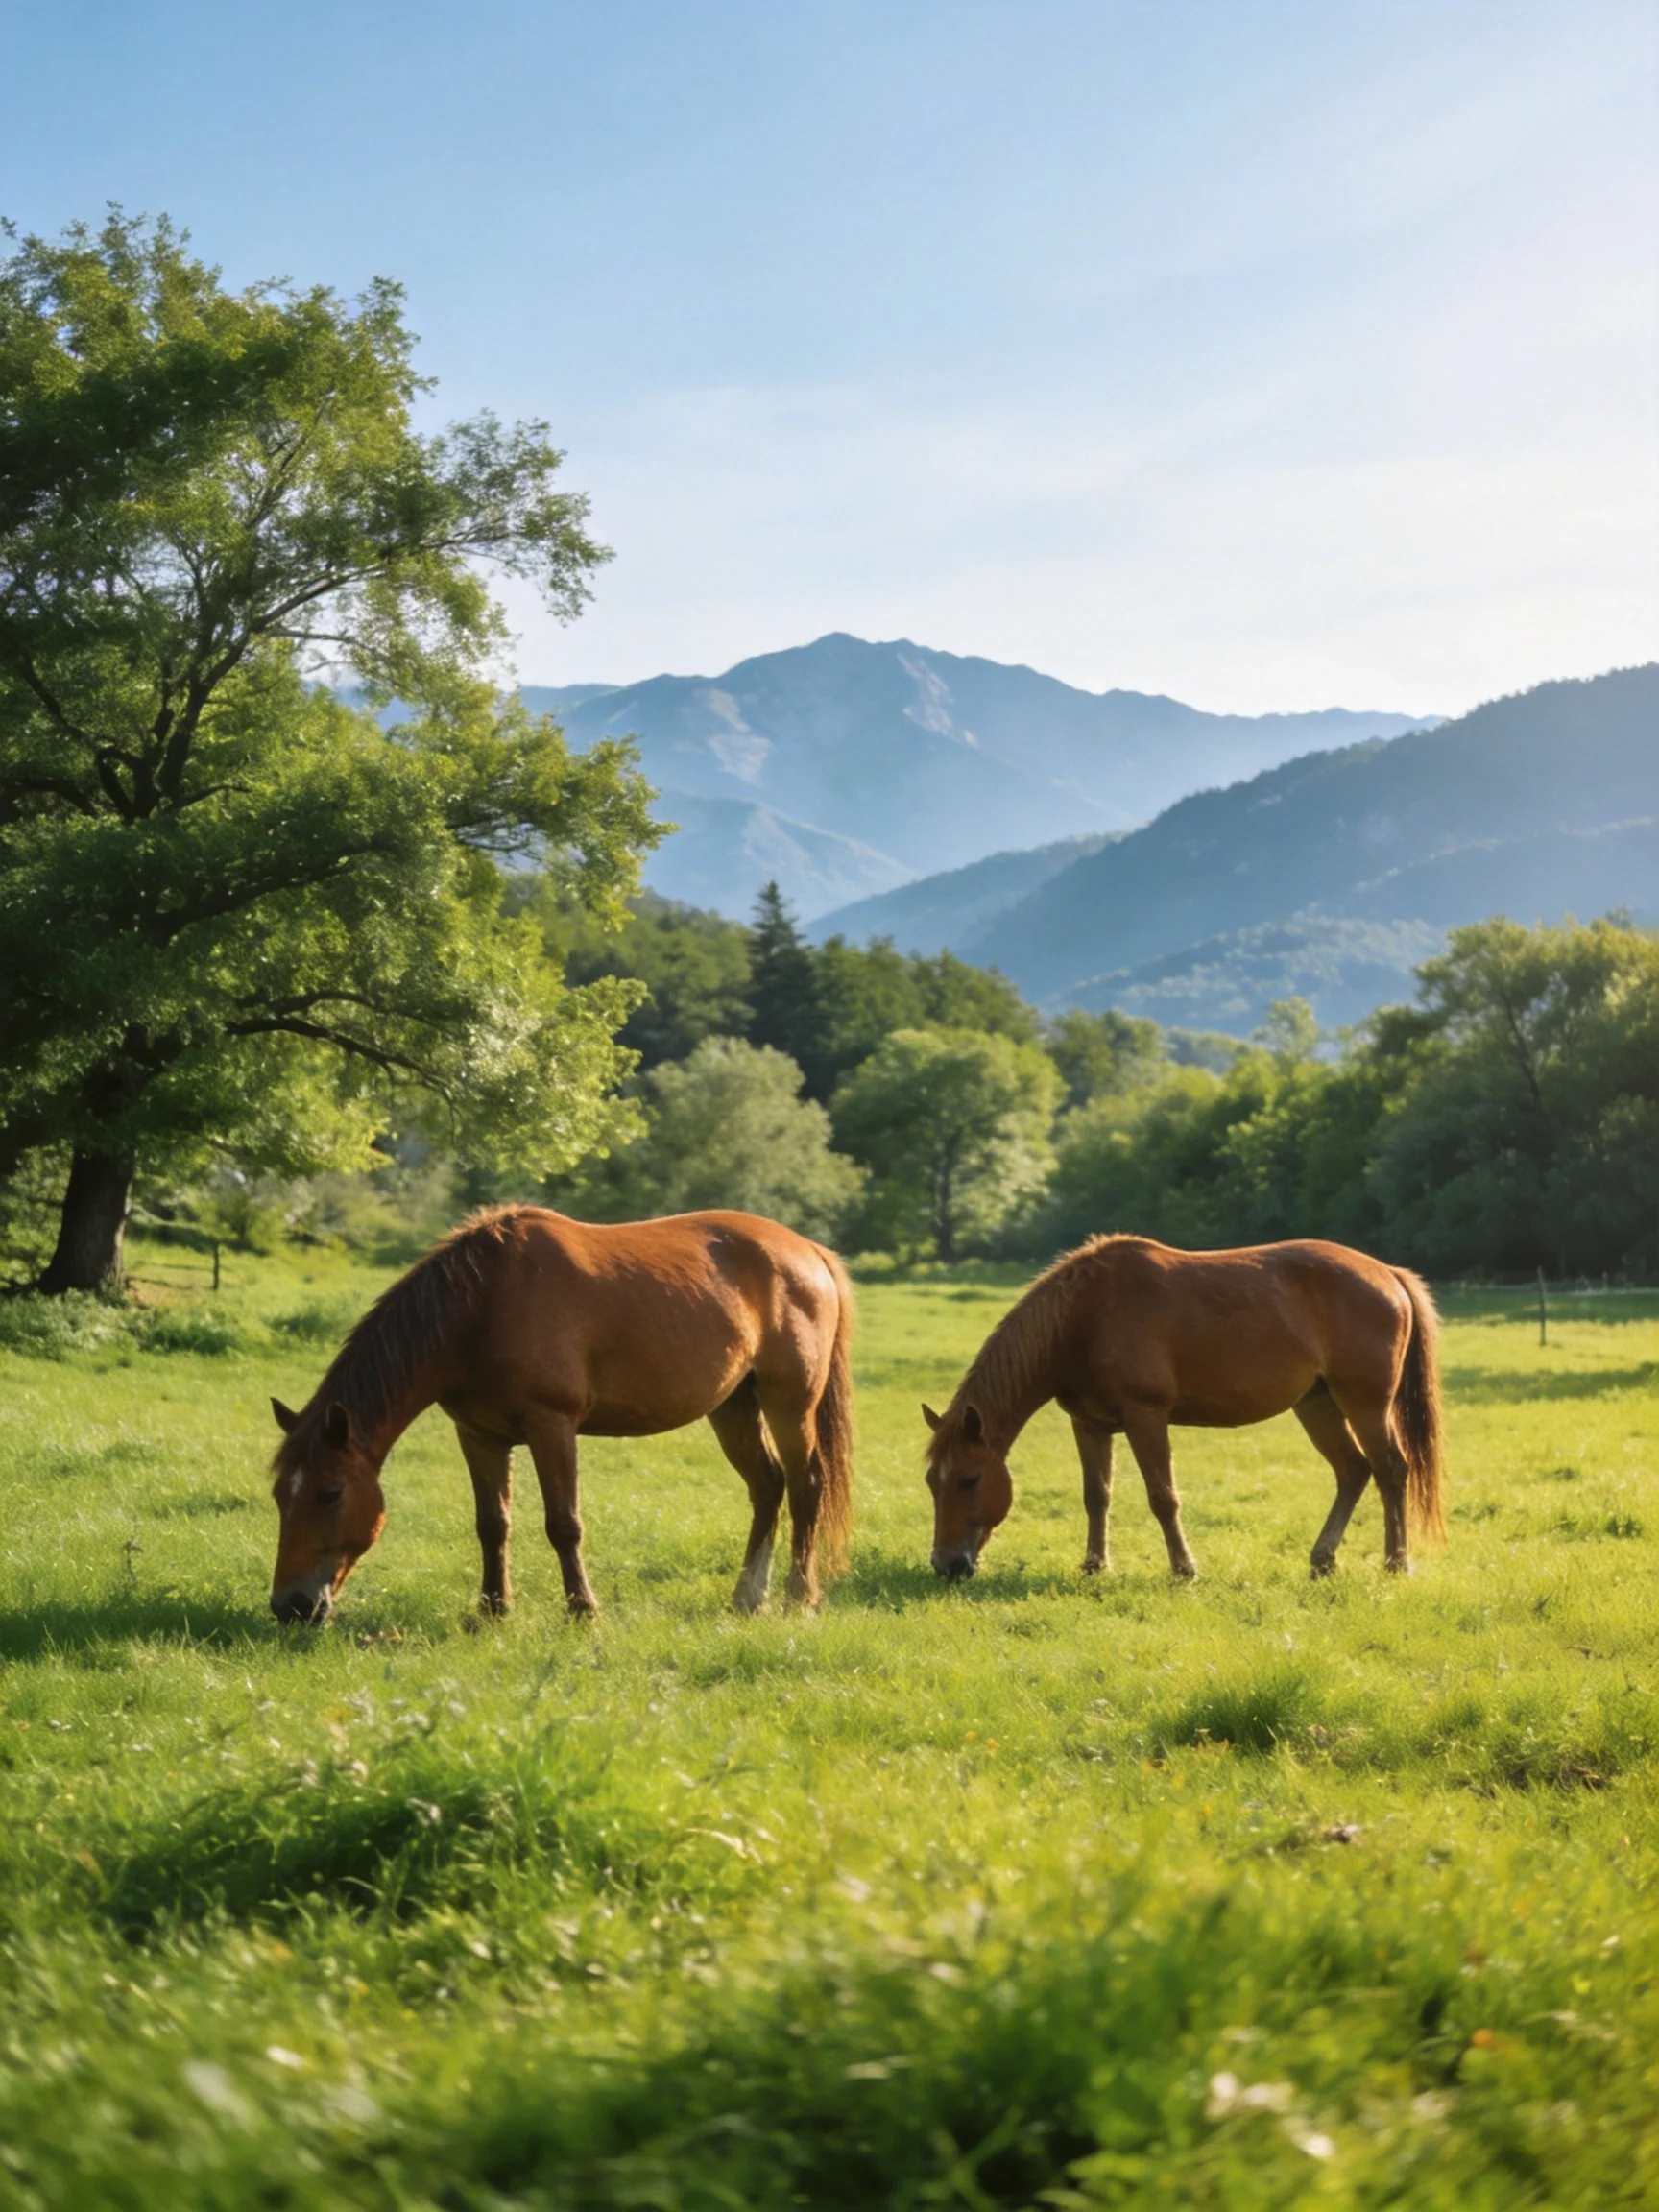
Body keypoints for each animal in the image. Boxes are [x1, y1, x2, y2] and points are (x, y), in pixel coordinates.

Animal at [268, 1205, 854, 1626]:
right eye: (279, 1496)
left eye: (330, 1493)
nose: (290, 1605)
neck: (483, 1305)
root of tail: (810, 1252)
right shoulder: (478, 1436)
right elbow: (492, 1524)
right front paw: (492, 1610)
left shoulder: (553, 1428)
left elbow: (563, 1524)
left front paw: (582, 1610)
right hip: (733, 1407)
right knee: (767, 1485)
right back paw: (747, 1597)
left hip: (789, 1402)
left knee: (806, 1486)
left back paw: (798, 1597)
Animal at [923, 1234, 1444, 1583]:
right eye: (932, 1482)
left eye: (969, 1479)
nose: (947, 1565)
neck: (1084, 1318)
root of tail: (1389, 1274)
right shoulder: (1088, 1425)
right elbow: (1097, 1496)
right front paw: (1094, 1565)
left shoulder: (1146, 1418)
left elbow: (1163, 1497)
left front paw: (1183, 1569)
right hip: (1318, 1405)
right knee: (1353, 1471)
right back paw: (1323, 1560)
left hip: (1365, 1404)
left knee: (1391, 1470)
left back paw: (1397, 1563)